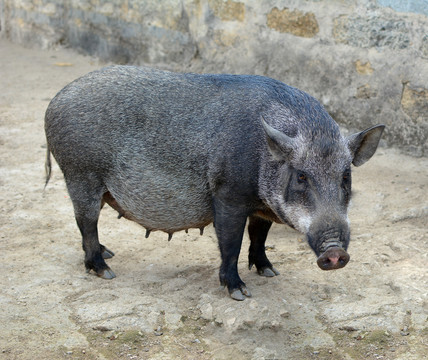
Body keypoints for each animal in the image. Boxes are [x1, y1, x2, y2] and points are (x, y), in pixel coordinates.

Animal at [44, 65, 384, 300]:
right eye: (301, 175)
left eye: (346, 176)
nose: (335, 252)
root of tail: (54, 102)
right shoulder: (228, 195)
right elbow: (231, 242)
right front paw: (240, 293)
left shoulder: (262, 207)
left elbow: (259, 236)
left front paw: (270, 272)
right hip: (80, 174)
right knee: (85, 222)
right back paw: (106, 270)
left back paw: (109, 253)